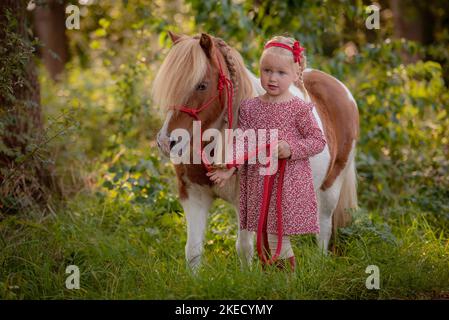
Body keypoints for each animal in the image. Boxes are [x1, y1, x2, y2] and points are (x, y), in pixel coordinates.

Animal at [152, 31, 358, 270]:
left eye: (202, 85)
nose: (166, 142)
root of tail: (340, 89)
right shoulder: (194, 195)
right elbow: (193, 251)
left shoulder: (246, 201)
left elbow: (244, 248)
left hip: (331, 186)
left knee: (323, 229)